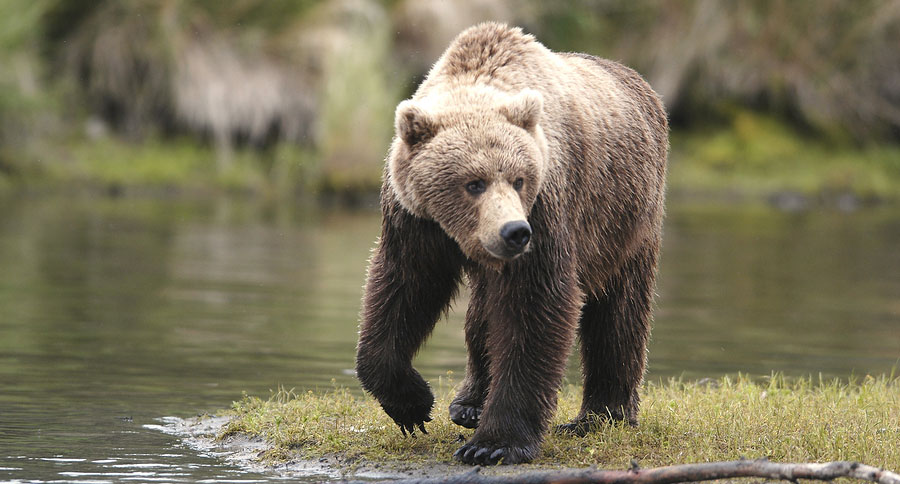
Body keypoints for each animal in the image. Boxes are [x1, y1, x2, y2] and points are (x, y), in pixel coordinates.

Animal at [356, 22, 668, 465]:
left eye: (519, 179)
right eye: (474, 183)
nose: (514, 231)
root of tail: (643, 84)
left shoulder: (548, 209)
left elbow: (535, 308)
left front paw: (494, 443)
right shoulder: (415, 222)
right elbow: (403, 290)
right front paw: (412, 405)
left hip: (624, 220)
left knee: (618, 312)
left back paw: (601, 415)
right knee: (482, 315)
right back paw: (468, 403)